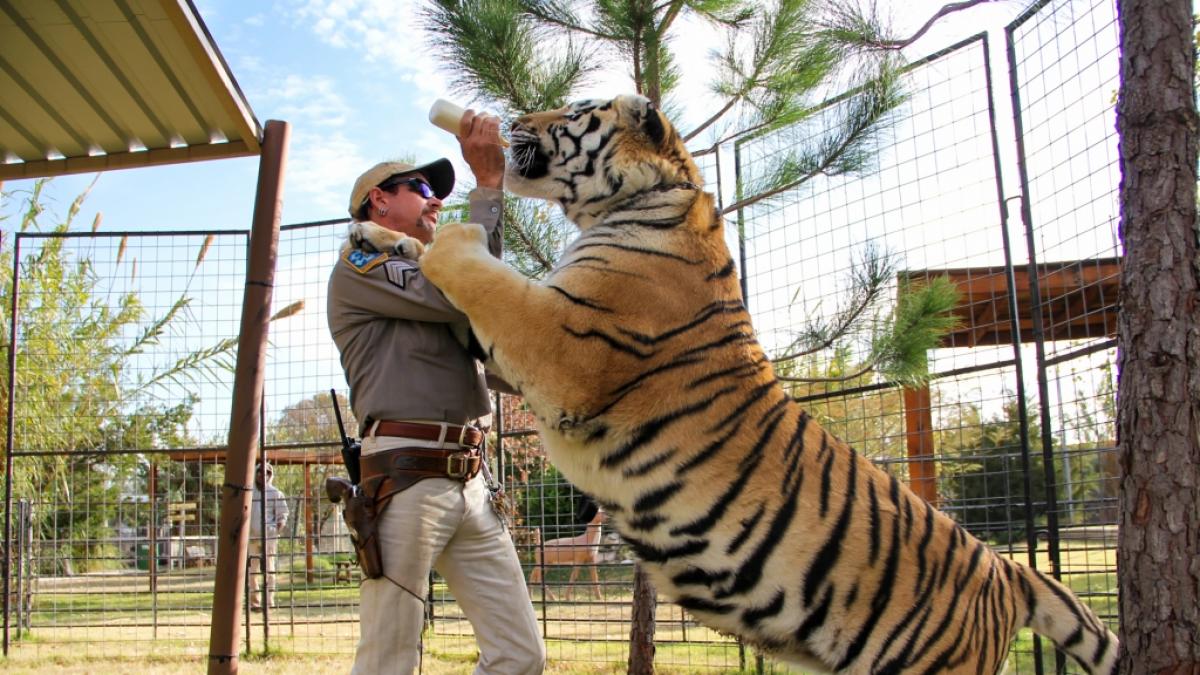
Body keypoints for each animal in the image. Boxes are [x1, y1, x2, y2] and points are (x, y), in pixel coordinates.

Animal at [367, 94, 1120, 673]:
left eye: (575, 111)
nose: (514, 119)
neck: (643, 199)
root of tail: (1006, 569)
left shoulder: (561, 344)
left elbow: (481, 273)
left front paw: (440, 236)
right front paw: (383, 236)